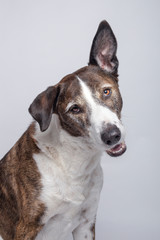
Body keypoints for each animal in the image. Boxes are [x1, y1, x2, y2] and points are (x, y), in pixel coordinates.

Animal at [0, 21, 126, 240]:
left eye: (106, 91)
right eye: (75, 109)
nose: (112, 136)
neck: (74, 161)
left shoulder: (86, 223)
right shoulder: (26, 227)